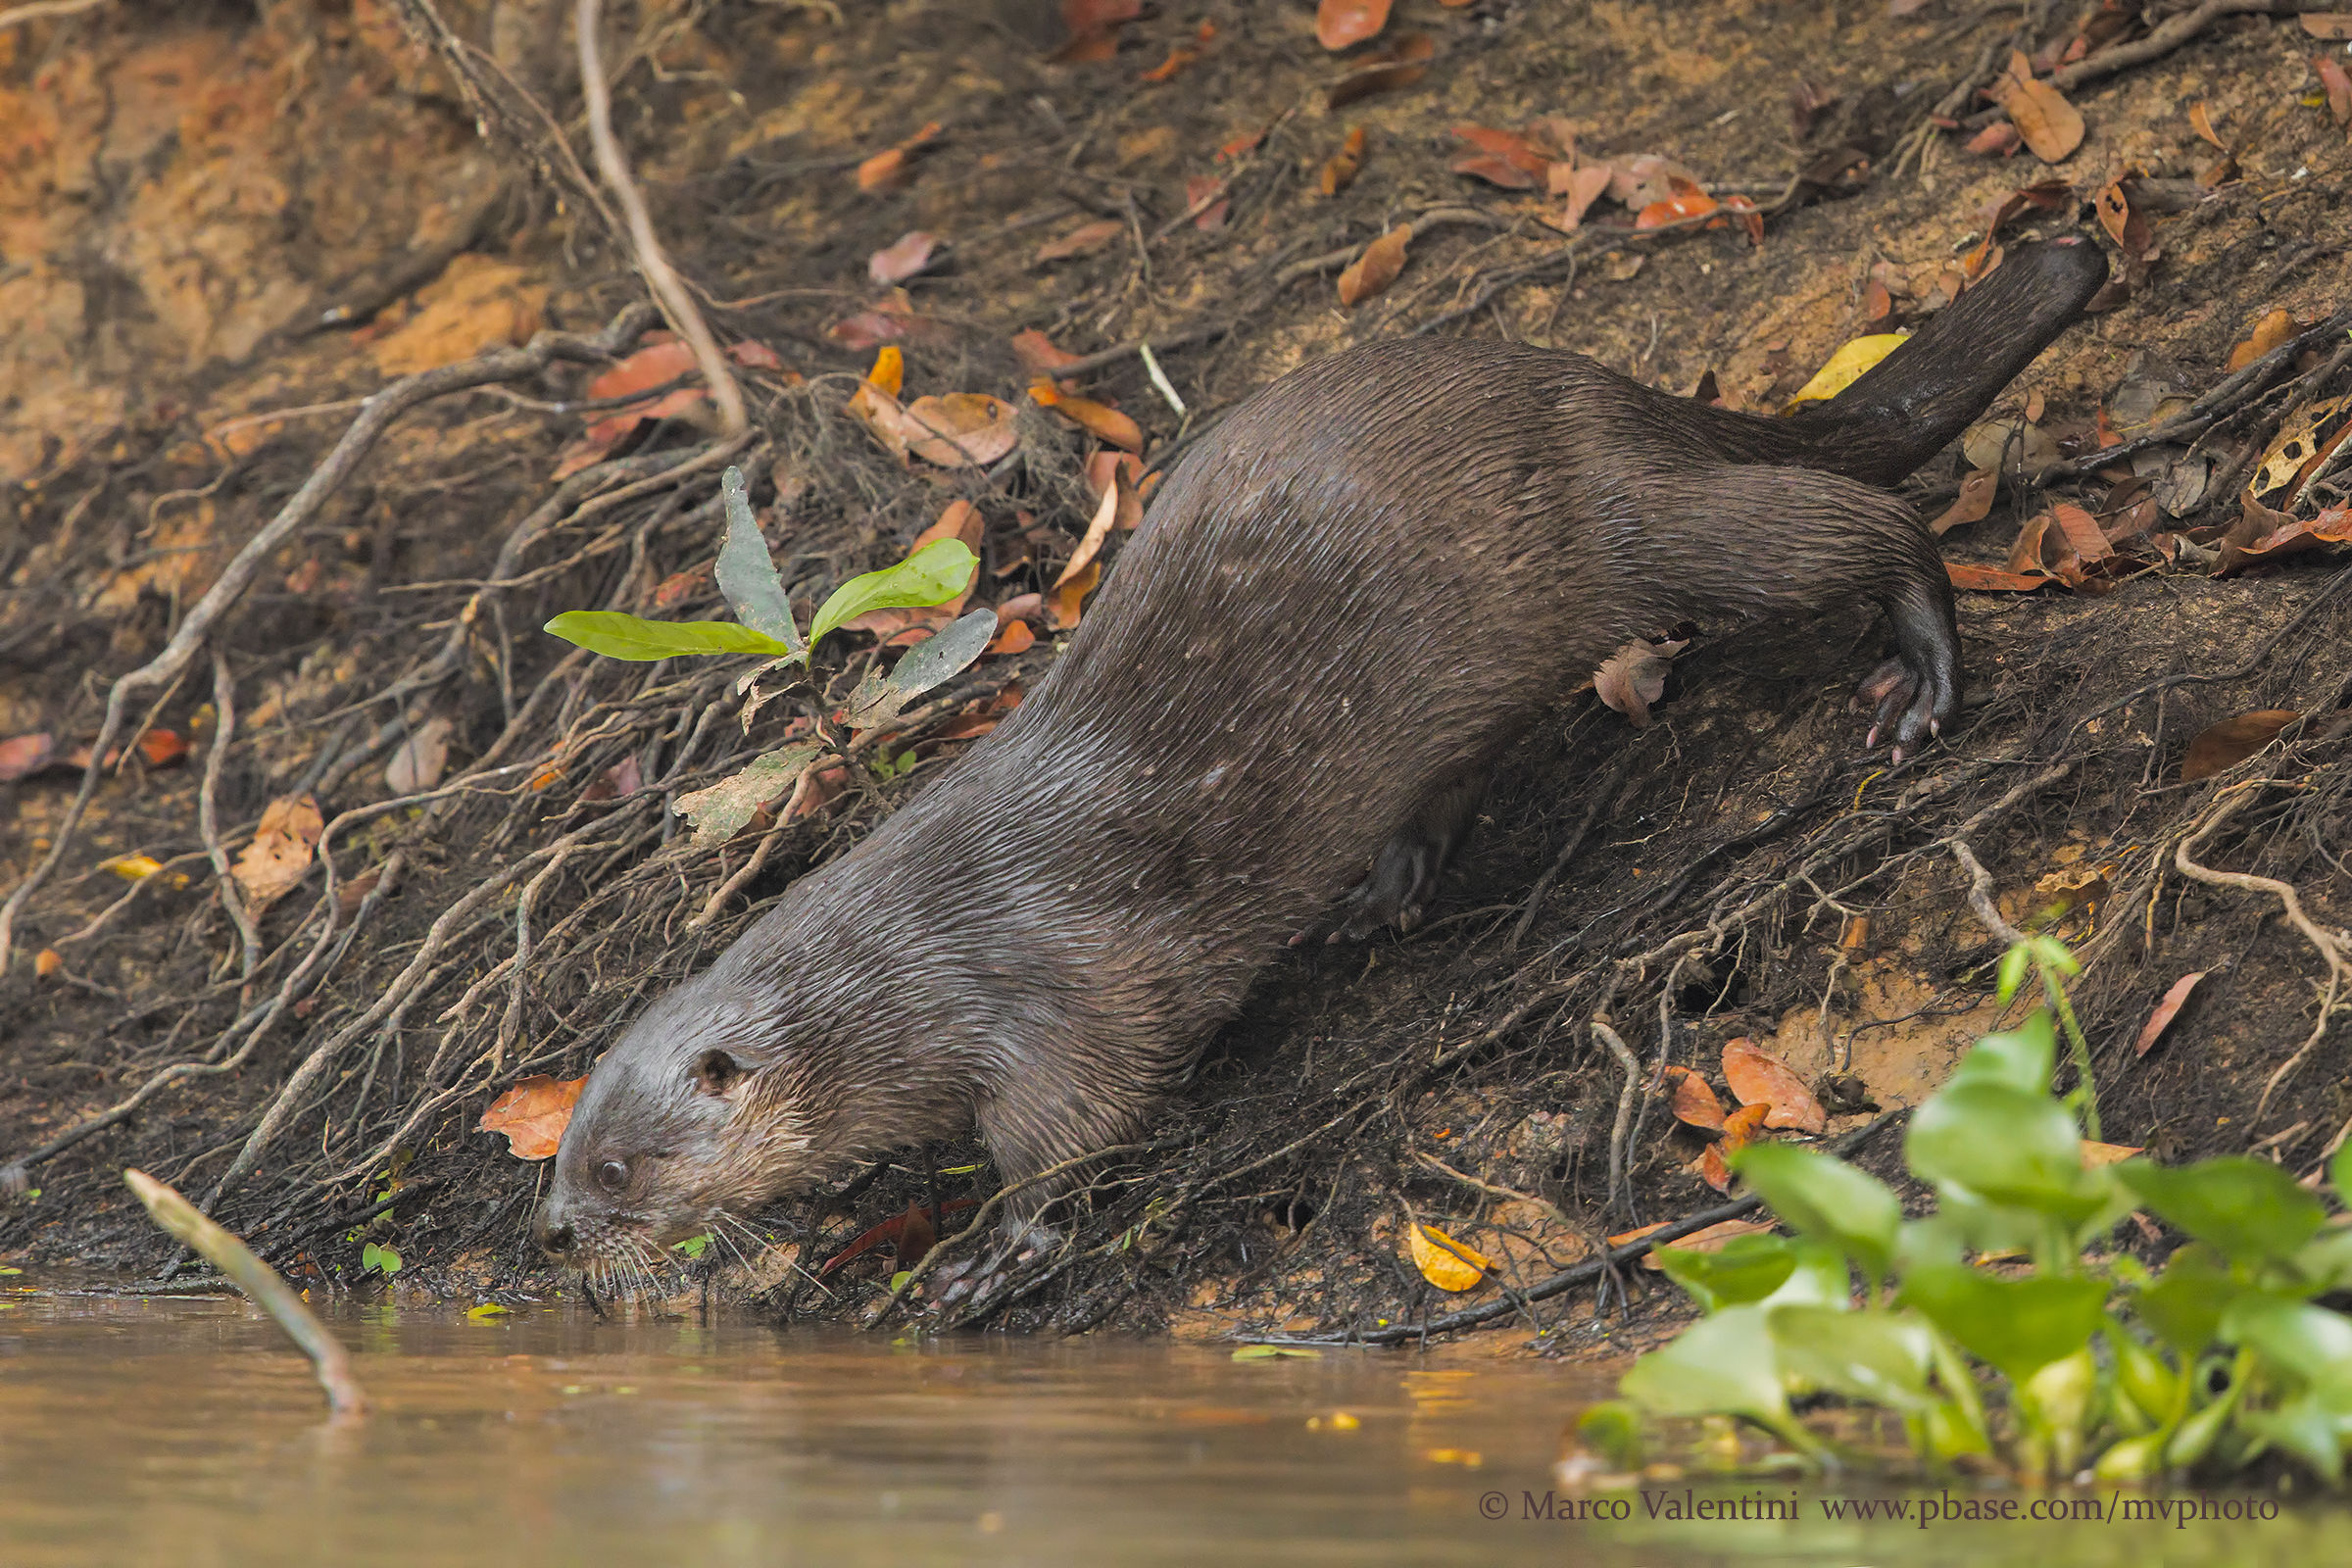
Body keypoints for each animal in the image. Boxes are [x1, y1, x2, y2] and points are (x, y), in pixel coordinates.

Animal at [534, 237, 2110, 1287]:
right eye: (563, 1153)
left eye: (615, 1164)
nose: (555, 1228)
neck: (906, 976)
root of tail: (1596, 381)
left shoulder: (1048, 998)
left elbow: (1076, 1123)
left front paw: (995, 1247)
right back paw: (1382, 897)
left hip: (1623, 530)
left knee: (1849, 523)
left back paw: (1923, 675)